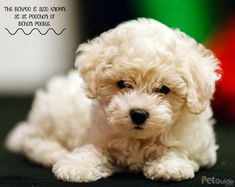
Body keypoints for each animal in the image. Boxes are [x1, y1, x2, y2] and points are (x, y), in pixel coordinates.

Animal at [6, 19, 221, 183]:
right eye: (122, 84)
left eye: (163, 89)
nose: (138, 113)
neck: (137, 139)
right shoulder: (96, 135)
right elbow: (91, 150)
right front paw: (77, 166)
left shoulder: (199, 146)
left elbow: (178, 149)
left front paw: (170, 166)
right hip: (54, 114)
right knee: (31, 140)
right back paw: (52, 152)